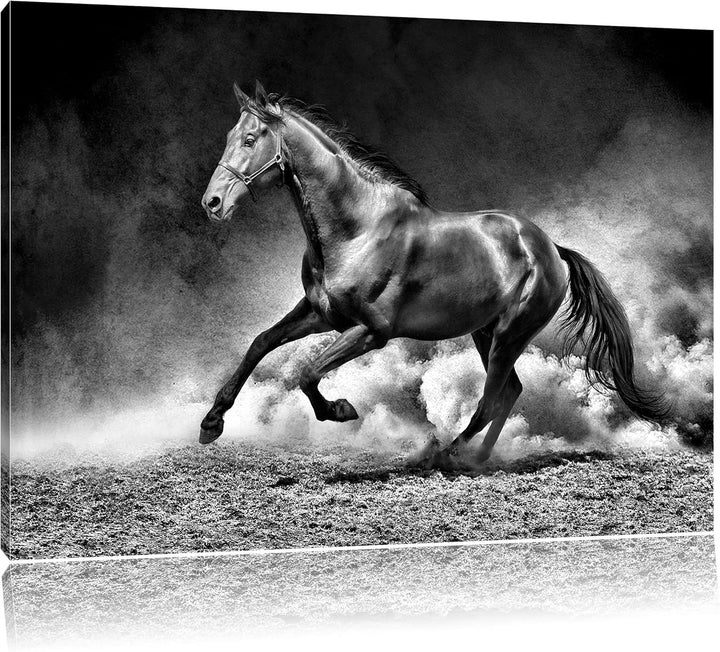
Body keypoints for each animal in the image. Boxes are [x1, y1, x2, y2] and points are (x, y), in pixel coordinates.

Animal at [199, 80, 668, 466]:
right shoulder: (322, 314)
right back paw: (477, 459)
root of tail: (551, 249)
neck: (356, 230)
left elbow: (308, 372)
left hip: (511, 334)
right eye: (229, 137)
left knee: (491, 399)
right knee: (509, 393)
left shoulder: (372, 331)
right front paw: (211, 423)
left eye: (251, 138)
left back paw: (447, 454)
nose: (212, 203)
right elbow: (260, 344)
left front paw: (341, 410)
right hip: (486, 333)